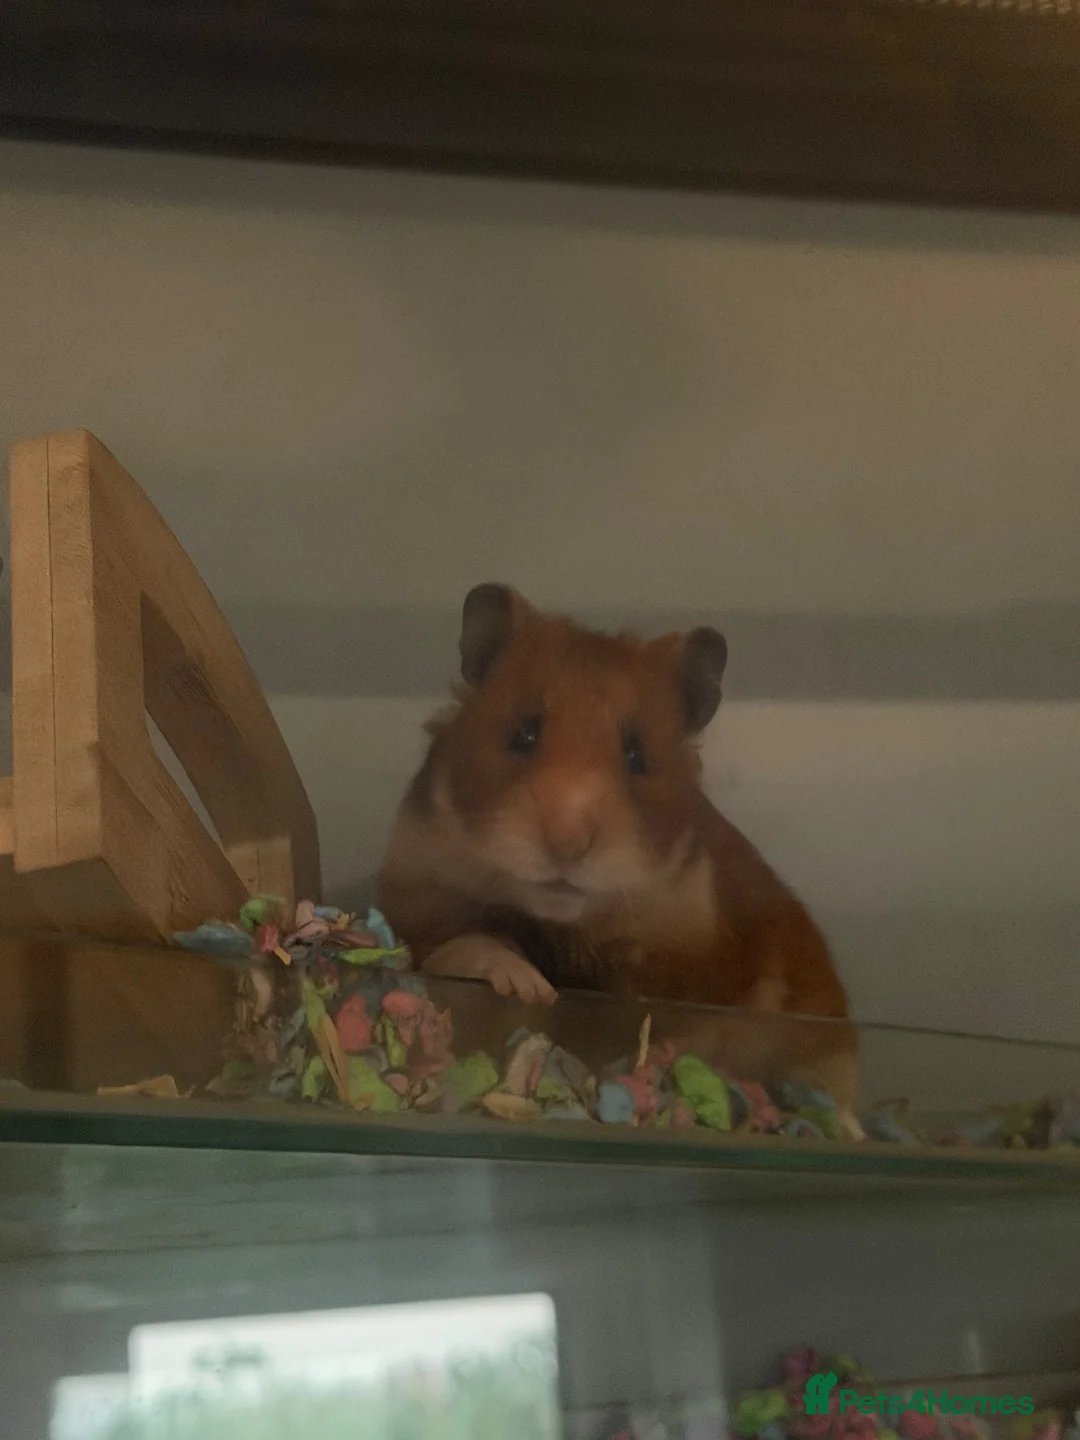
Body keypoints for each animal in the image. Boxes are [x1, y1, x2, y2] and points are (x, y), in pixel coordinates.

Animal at [378, 583, 860, 1131]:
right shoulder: (420, 896)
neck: (566, 927)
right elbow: (468, 945)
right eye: (523, 734)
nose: (568, 843)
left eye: (637, 755)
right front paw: (530, 988)